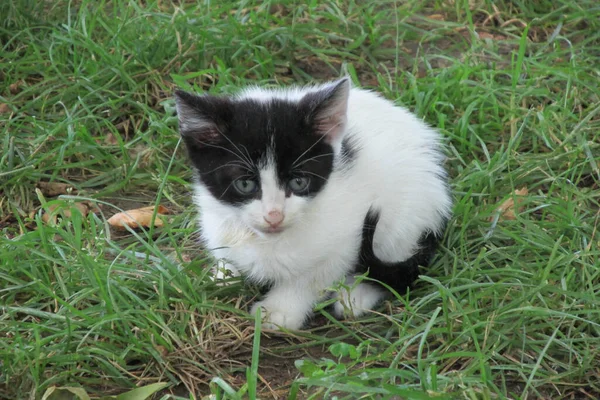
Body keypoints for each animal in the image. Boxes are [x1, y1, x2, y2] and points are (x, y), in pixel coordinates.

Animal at [175, 78, 450, 332]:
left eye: (299, 182)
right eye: (244, 184)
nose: (274, 215)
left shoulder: (346, 237)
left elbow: (311, 278)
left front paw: (278, 311)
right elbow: (227, 256)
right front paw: (222, 277)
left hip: (407, 214)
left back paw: (356, 296)